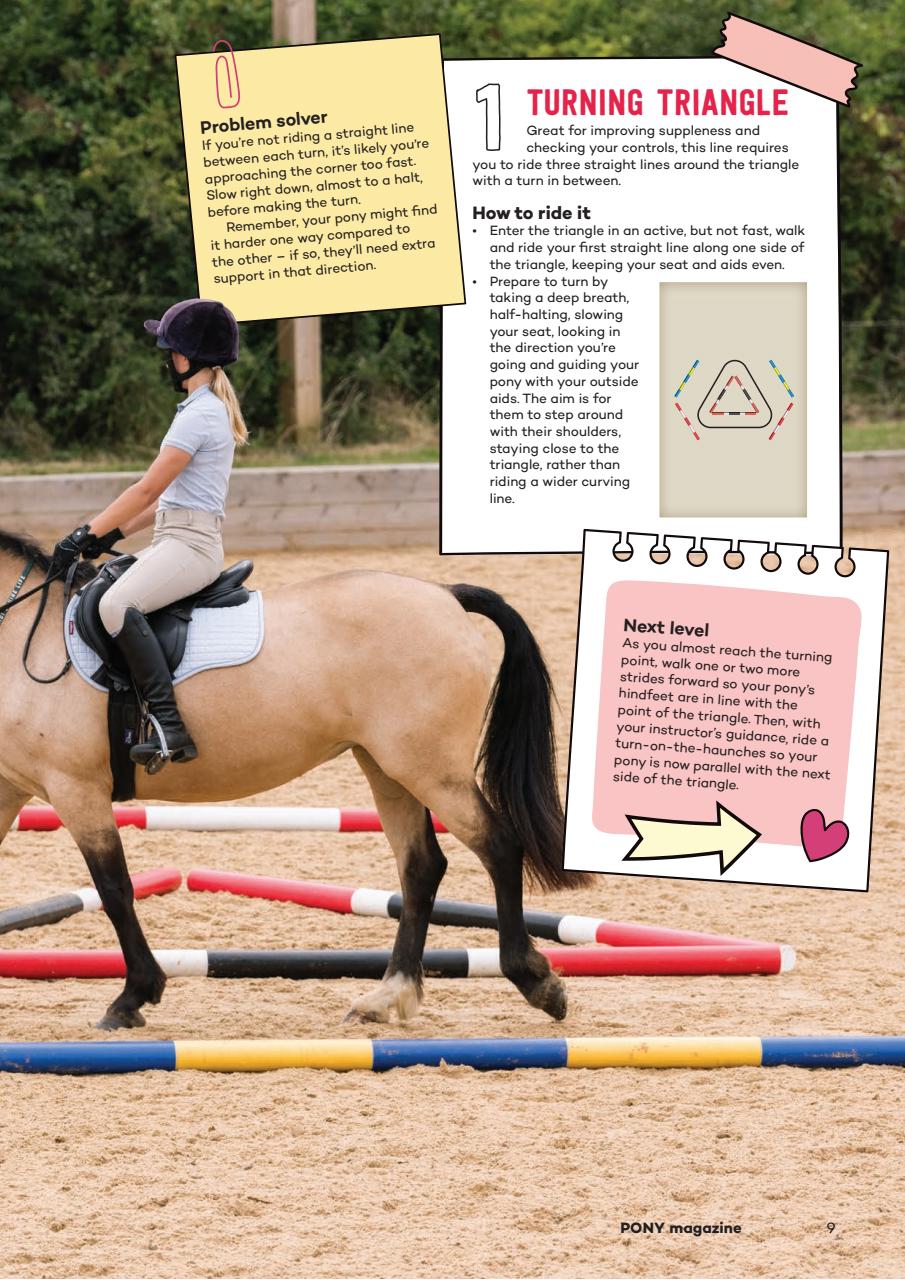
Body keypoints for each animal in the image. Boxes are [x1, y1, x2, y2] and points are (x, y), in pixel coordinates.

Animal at [0, 529, 589, 1030]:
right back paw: (388, 995)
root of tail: (443, 595)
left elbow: (115, 889)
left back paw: (535, 981)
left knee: (498, 845)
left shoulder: (76, 789)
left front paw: (133, 997)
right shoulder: (11, 790)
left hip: (430, 768)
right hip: (386, 766)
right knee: (422, 866)